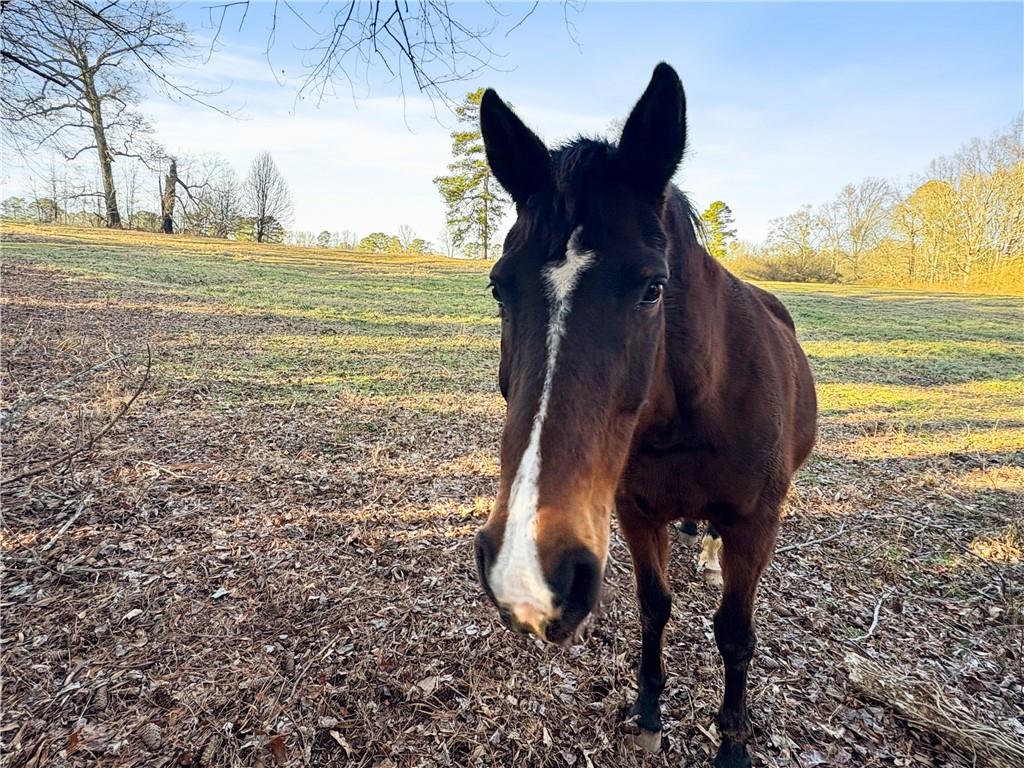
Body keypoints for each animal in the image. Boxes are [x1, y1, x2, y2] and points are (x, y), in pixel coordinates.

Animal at [471, 61, 815, 768]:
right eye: (498, 286)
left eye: (654, 287)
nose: (527, 569)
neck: (688, 416)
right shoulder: (633, 513)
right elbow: (654, 607)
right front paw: (651, 709)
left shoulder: (756, 524)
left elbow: (734, 634)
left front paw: (733, 742)